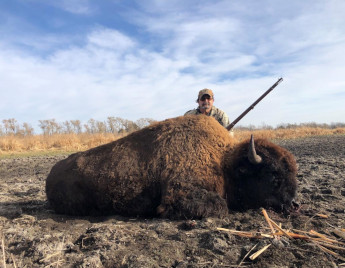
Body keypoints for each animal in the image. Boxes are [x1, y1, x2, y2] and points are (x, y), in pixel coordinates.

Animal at [45, 114, 296, 218]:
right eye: (273, 175)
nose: (294, 204)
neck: (223, 161)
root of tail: (50, 175)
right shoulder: (179, 194)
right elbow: (219, 206)